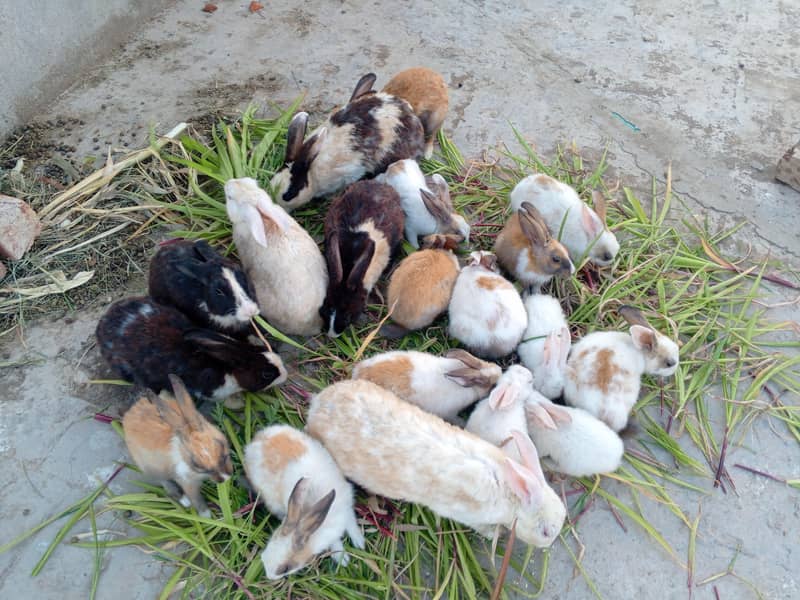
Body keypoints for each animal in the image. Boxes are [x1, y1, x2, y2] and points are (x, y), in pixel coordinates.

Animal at [122, 374, 233, 517]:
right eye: (197, 465)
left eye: (223, 451)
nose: (225, 478)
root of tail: (129, 413)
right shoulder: (187, 482)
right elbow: (197, 501)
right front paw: (207, 517)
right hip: (153, 469)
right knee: (166, 483)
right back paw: (184, 501)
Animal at [243, 425, 364, 579]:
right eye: (265, 553)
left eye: (285, 568)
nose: (269, 576)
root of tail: (256, 441)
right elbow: (336, 541)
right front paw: (343, 559)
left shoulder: (346, 506)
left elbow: (351, 524)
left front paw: (359, 543)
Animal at [306, 379, 566, 548]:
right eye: (545, 531)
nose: (549, 545)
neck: (509, 492)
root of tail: (318, 405)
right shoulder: (468, 516)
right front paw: (495, 534)